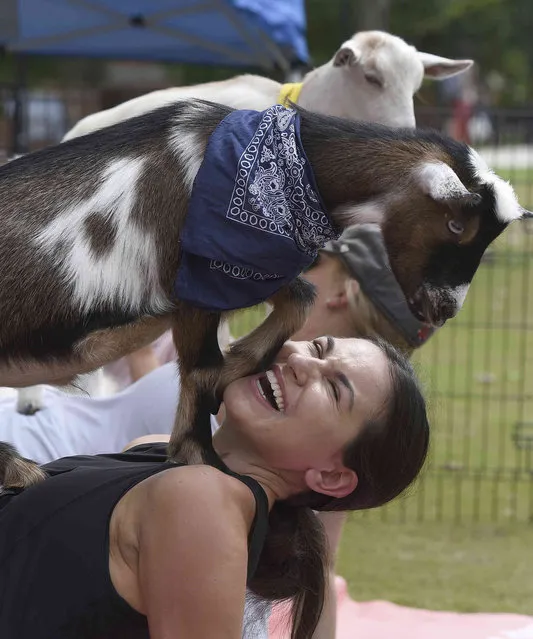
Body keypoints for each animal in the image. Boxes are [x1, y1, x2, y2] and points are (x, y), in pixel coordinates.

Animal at [0, 100, 524, 478]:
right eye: (455, 223)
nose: (445, 308)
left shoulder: (246, 271)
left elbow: (299, 300)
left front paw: (237, 367)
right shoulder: (198, 283)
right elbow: (199, 368)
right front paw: (200, 456)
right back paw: (19, 469)